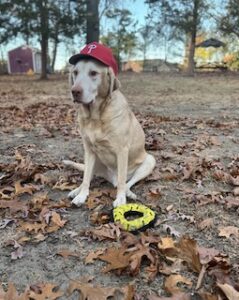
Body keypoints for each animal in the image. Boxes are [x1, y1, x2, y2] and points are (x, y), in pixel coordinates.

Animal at [63, 41, 156, 206]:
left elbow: (122, 180)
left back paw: (128, 192)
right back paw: (77, 190)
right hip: (96, 160)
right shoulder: (89, 150)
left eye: (93, 73)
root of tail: (110, 178)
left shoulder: (122, 150)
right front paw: (82, 195)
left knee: (126, 182)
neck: (95, 117)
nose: (75, 91)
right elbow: (86, 178)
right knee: (89, 175)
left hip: (150, 161)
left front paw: (121, 199)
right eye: (75, 72)